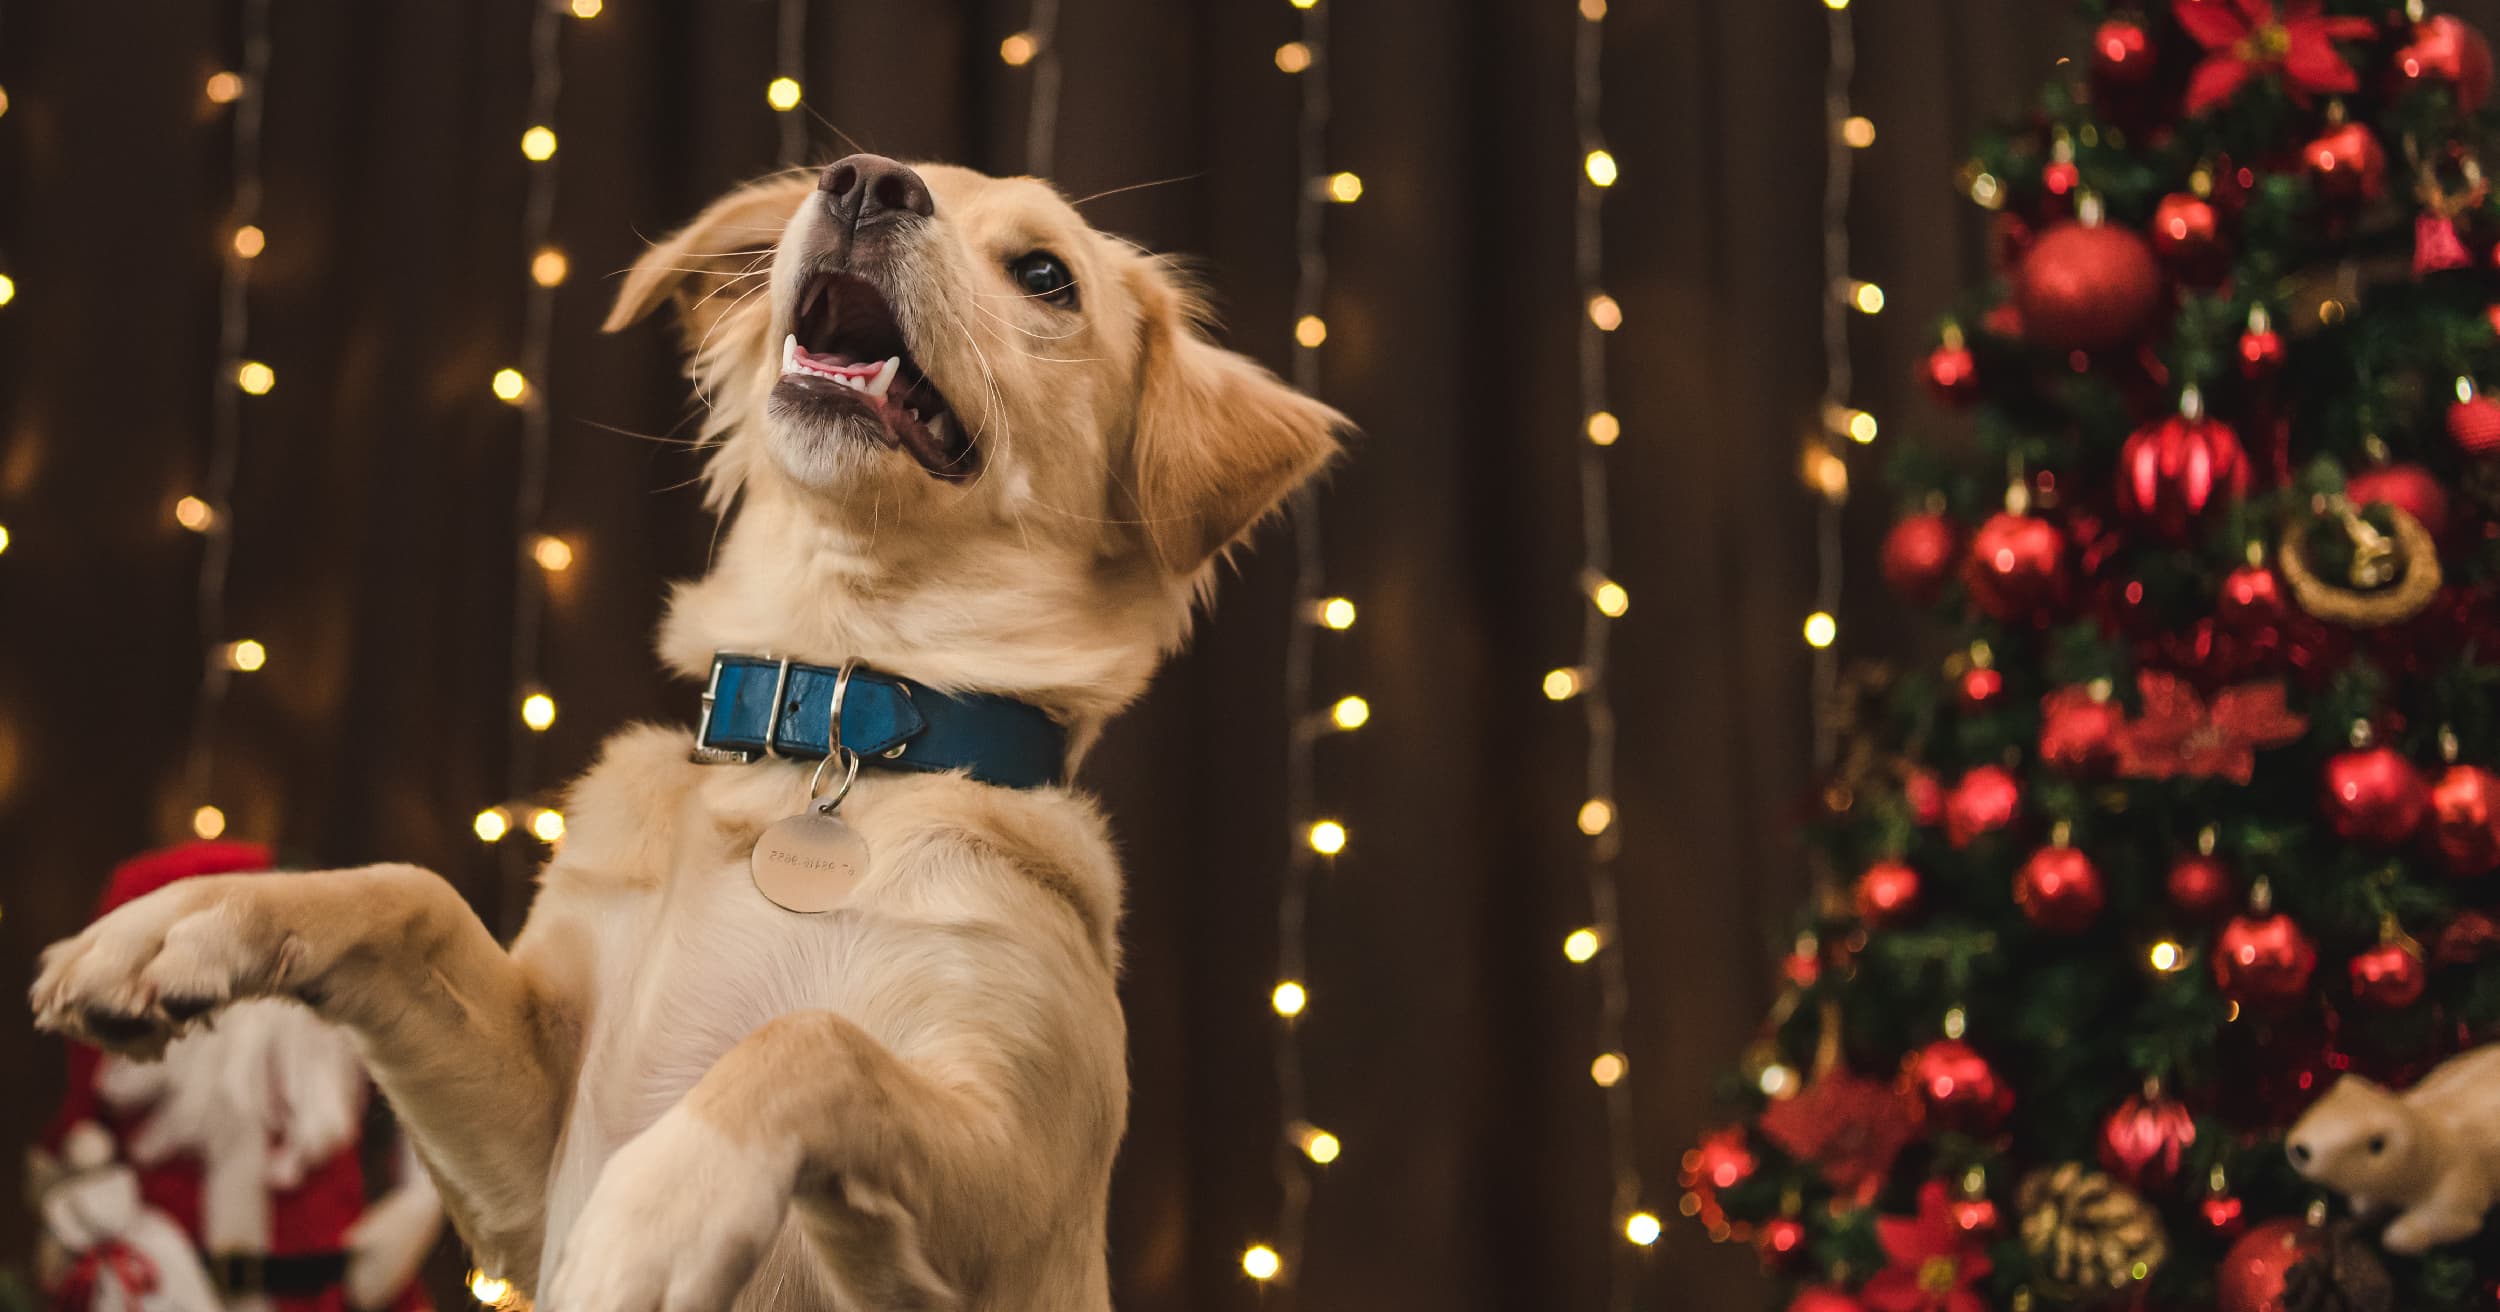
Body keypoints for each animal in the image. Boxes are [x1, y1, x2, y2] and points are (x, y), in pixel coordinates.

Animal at [29, 156, 1350, 1309]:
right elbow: (411, 892)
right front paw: (188, 921)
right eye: (886, 176)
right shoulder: (525, 1178)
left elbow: (815, 1045)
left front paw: (663, 1202)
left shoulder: (1002, 1198)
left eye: (1044, 276)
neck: (831, 728)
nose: (866, 182)